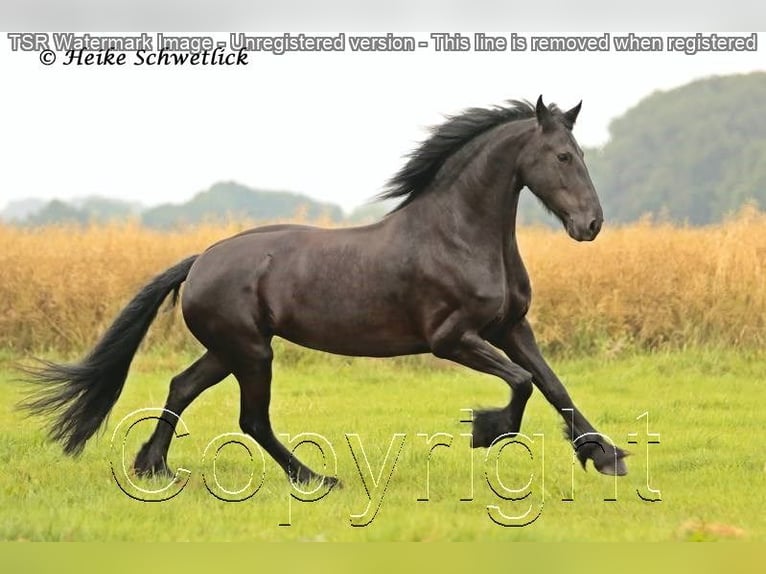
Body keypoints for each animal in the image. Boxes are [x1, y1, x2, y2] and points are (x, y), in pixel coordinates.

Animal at [21, 97, 632, 488]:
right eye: (562, 157)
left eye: (581, 154)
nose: (591, 224)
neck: (457, 234)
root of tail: (201, 260)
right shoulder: (453, 338)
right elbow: (523, 382)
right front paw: (487, 430)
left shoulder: (511, 327)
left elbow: (552, 384)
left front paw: (606, 456)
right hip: (252, 351)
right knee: (251, 419)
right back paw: (316, 477)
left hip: (229, 349)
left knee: (182, 387)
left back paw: (154, 467)